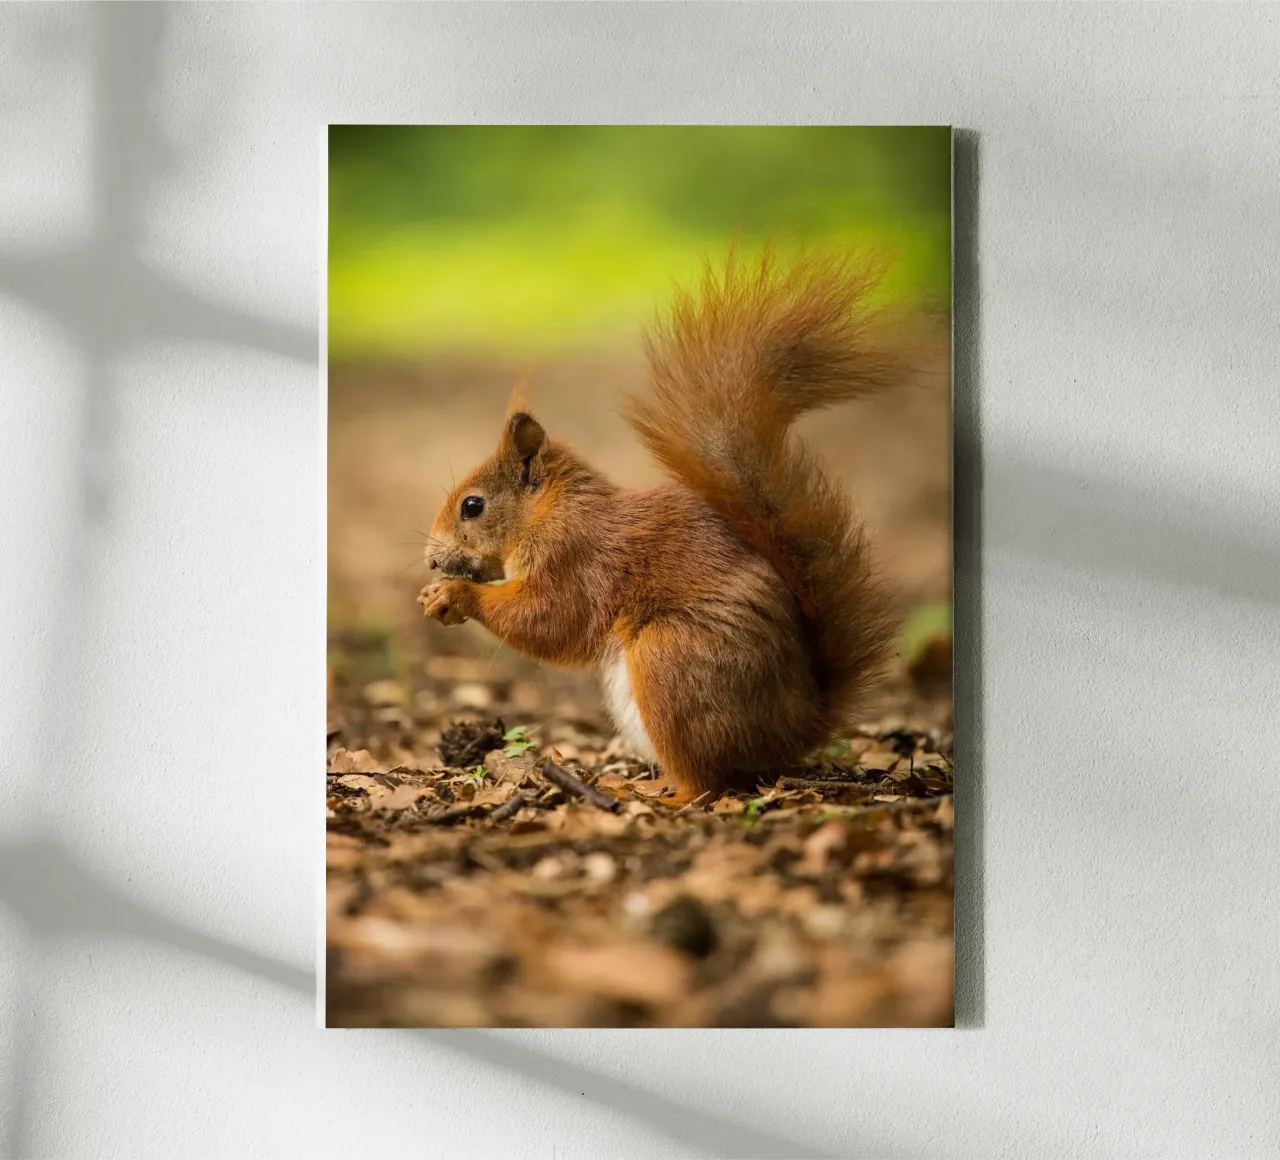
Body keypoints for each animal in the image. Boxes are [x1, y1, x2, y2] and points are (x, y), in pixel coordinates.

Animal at [418, 250, 906, 804]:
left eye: (472, 506)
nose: (431, 559)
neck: (550, 511)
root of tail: (795, 728)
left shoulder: (577, 558)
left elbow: (550, 619)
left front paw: (454, 595)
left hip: (671, 659)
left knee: (705, 783)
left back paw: (654, 794)